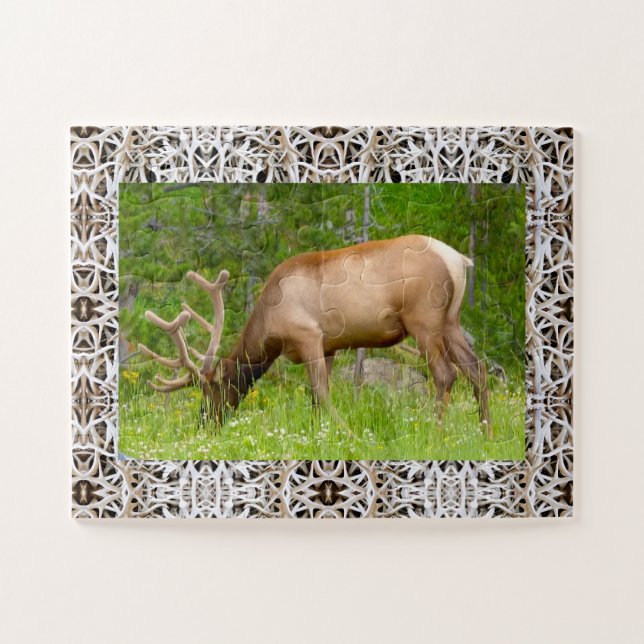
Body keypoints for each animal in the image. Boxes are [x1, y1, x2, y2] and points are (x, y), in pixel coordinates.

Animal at [139, 234, 491, 437]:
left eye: (212, 390)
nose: (202, 425)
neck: (269, 328)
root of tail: (459, 259)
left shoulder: (307, 336)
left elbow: (321, 393)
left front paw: (350, 436)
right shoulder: (329, 347)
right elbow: (315, 399)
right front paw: (318, 437)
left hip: (424, 320)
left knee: (445, 375)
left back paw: (435, 436)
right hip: (451, 321)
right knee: (478, 369)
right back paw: (487, 434)